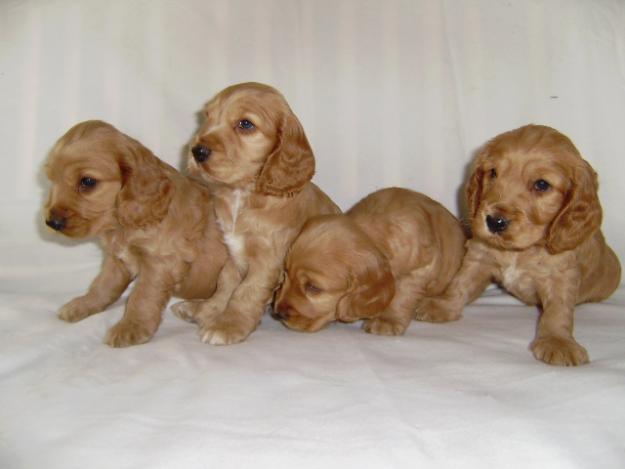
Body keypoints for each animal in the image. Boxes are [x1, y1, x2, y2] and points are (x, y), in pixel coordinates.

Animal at [44, 119, 229, 348]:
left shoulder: (160, 264)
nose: (52, 222)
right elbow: (102, 285)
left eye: (87, 182)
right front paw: (83, 305)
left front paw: (131, 328)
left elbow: (142, 297)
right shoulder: (117, 261)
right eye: (52, 179)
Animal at [169, 81, 342, 344]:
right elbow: (225, 285)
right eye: (207, 116)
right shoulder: (233, 252)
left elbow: (245, 293)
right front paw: (208, 312)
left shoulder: (268, 261)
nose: (197, 151)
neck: (243, 195)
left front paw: (227, 325)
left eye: (245, 124)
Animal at [270, 186, 466, 332]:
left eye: (313, 288)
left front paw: (387, 320)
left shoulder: (421, 268)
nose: (278, 313)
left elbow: (402, 294)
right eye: (285, 274)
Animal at [414, 124, 620, 366]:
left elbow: (558, 309)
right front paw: (442, 305)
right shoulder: (480, 256)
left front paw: (558, 341)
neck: (520, 251)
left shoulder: (562, 274)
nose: (494, 222)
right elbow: (460, 282)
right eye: (493, 173)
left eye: (541, 184)